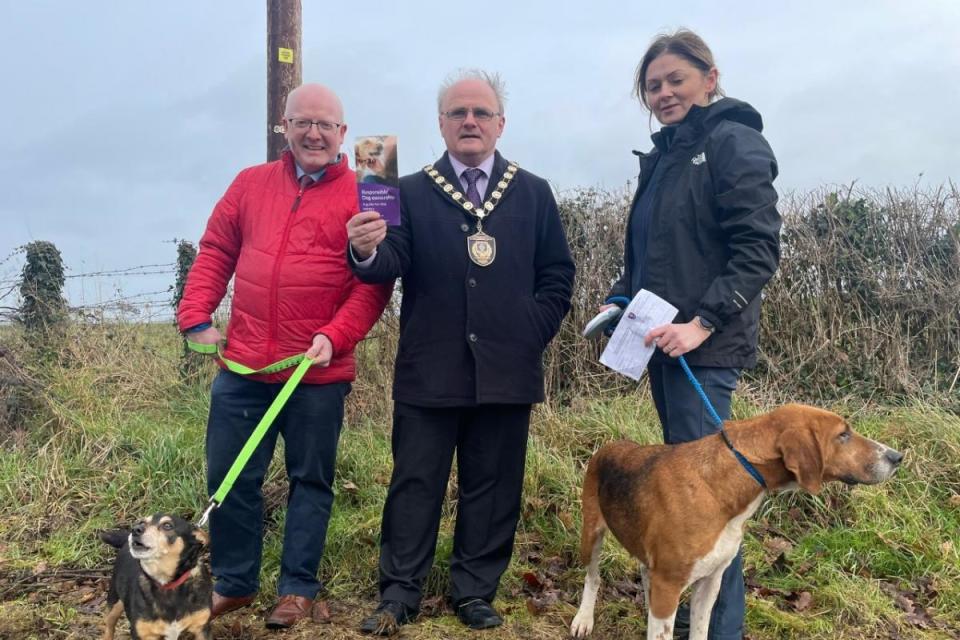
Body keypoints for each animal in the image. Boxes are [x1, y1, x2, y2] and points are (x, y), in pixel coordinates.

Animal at [568, 404, 900, 640]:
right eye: (843, 435)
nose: (897, 457)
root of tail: (610, 446)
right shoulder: (669, 584)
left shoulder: (710, 582)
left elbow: (700, 631)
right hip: (591, 536)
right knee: (593, 577)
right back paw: (584, 619)